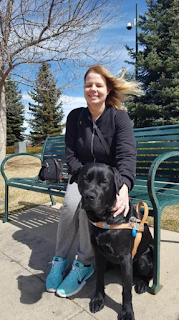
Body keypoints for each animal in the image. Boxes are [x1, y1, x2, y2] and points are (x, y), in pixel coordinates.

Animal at [70, 164, 154, 318]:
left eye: (104, 181)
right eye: (84, 179)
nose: (89, 196)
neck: (105, 219)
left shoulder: (125, 258)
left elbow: (126, 290)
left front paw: (127, 311)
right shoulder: (98, 253)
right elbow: (99, 279)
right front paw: (98, 300)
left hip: (143, 261)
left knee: (148, 274)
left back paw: (142, 284)